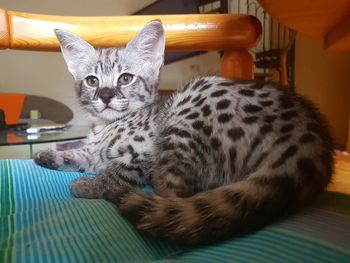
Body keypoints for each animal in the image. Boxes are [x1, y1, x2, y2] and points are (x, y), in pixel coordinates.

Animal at [35, 21, 334, 248]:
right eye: (92, 81)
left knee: (176, 194)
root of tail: (311, 145)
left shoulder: (145, 150)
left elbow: (118, 170)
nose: (106, 95)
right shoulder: (94, 151)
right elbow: (80, 152)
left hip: (188, 108)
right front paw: (48, 155)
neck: (105, 126)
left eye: (126, 79)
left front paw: (92, 184)